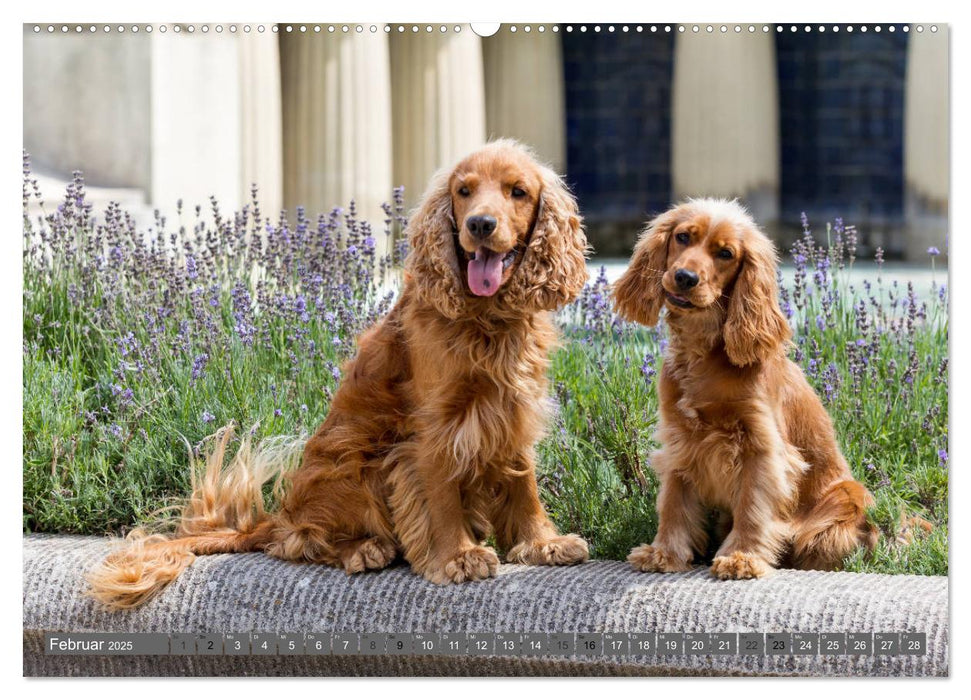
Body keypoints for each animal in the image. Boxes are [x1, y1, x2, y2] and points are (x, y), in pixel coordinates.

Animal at [89, 138, 592, 608]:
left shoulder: (513, 411)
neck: (487, 321)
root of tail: (279, 514)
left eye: (518, 191)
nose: (480, 225)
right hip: (355, 466)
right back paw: (363, 549)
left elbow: (524, 485)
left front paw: (543, 544)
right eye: (463, 191)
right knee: (297, 540)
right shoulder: (436, 429)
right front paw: (457, 557)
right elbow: (442, 496)